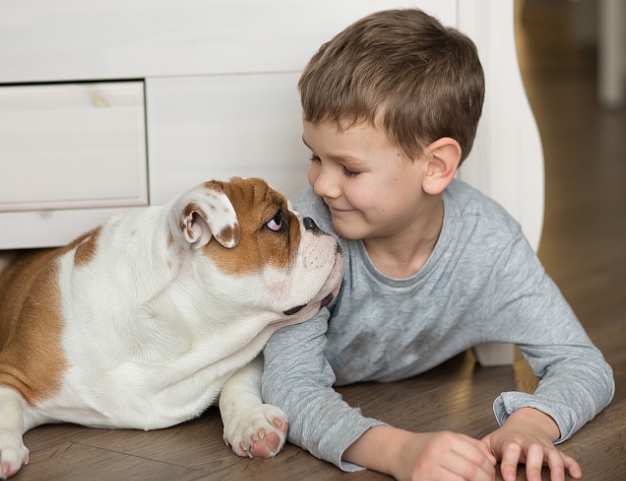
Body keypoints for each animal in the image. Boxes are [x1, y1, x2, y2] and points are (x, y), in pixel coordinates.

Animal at [0, 176, 342, 476]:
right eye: (275, 222)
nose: (313, 221)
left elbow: (238, 381)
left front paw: (252, 423)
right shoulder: (12, 373)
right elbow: (7, 412)